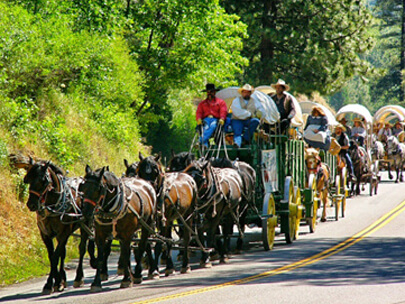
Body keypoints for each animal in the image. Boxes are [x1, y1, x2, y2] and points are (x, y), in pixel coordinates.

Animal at [23, 159, 95, 294]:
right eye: (27, 179)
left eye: (43, 181)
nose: (31, 204)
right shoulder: (45, 234)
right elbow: (52, 256)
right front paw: (56, 281)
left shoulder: (63, 233)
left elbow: (56, 256)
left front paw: (52, 283)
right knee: (63, 252)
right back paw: (63, 278)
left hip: (86, 223)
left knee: (82, 248)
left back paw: (79, 277)